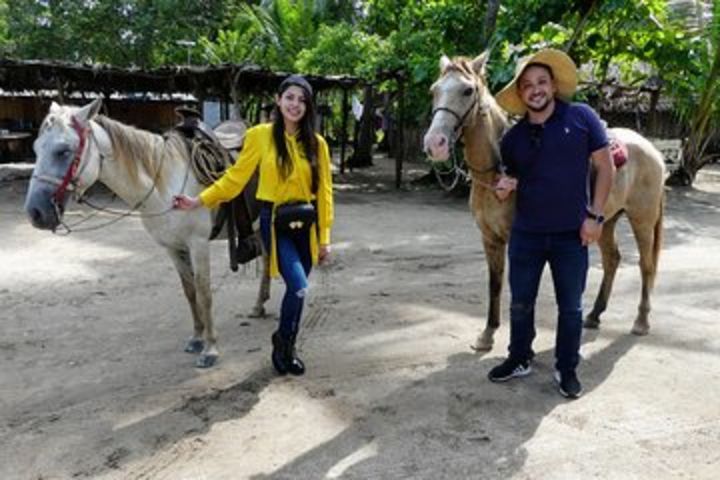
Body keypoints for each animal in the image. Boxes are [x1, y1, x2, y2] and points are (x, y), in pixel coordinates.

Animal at [24, 97, 270, 368]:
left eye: (64, 151)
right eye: (36, 149)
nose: (35, 212)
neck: (164, 184)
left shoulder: (198, 244)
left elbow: (205, 294)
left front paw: (211, 349)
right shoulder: (173, 248)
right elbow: (190, 292)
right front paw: (197, 338)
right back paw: (259, 306)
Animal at [424, 54, 668, 350]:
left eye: (467, 90)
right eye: (434, 90)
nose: (434, 144)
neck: (495, 172)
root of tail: (653, 150)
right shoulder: (490, 238)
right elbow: (495, 283)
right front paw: (487, 334)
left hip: (642, 220)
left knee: (646, 265)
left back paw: (641, 321)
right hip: (605, 222)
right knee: (612, 259)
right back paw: (594, 315)